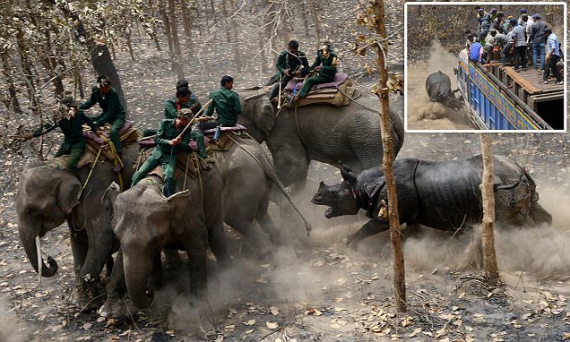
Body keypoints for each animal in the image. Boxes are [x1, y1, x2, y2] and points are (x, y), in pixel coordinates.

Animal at [15, 142, 139, 308]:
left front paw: (82, 305)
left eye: (32, 210)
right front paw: (78, 301)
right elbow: (78, 239)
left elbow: (104, 238)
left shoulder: (98, 191)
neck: (61, 165)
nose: (50, 259)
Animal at [98, 156, 227, 316]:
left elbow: (198, 245)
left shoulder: (191, 210)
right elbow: (122, 255)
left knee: (216, 237)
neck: (154, 183)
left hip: (216, 195)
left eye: (154, 241)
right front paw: (106, 311)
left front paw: (197, 306)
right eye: (116, 235)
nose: (148, 291)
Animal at [310, 154, 552, 247]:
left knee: (511, 225)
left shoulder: (390, 211)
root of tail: (519, 169)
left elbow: (370, 227)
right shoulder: (410, 212)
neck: (360, 186)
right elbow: (412, 231)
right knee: (536, 211)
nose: (314, 198)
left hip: (503, 188)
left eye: (334, 194)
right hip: (516, 182)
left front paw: (347, 242)